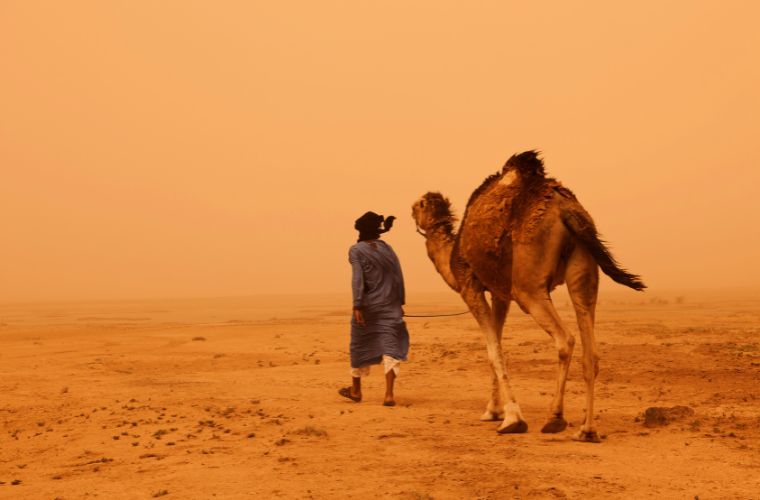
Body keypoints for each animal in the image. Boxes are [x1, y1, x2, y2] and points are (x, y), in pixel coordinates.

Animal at [412, 151, 644, 442]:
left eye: (419, 206)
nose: (410, 210)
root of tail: (567, 209)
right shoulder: (500, 293)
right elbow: (498, 343)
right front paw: (493, 411)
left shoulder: (469, 285)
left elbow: (493, 350)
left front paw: (512, 418)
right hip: (583, 269)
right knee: (591, 349)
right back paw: (586, 430)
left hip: (528, 283)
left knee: (565, 339)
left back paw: (555, 418)